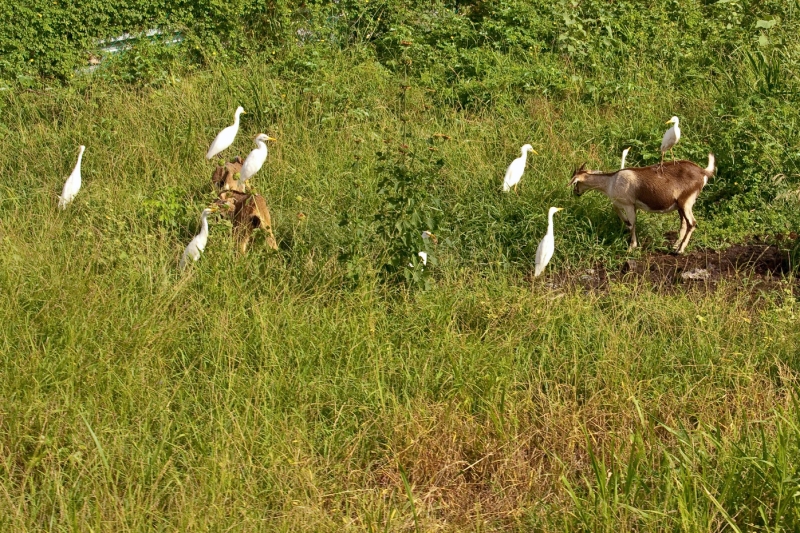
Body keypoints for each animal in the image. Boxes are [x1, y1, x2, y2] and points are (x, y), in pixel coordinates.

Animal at [564, 154, 716, 254]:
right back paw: (675, 246)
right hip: (680, 206)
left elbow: (632, 224)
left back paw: (680, 250)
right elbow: (617, 210)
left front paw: (632, 247)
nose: (576, 193)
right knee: (684, 224)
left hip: (686, 202)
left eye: (576, 183)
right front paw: (625, 226)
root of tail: (703, 172)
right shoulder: (627, 204)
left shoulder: (628, 204)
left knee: (692, 223)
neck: (611, 181)